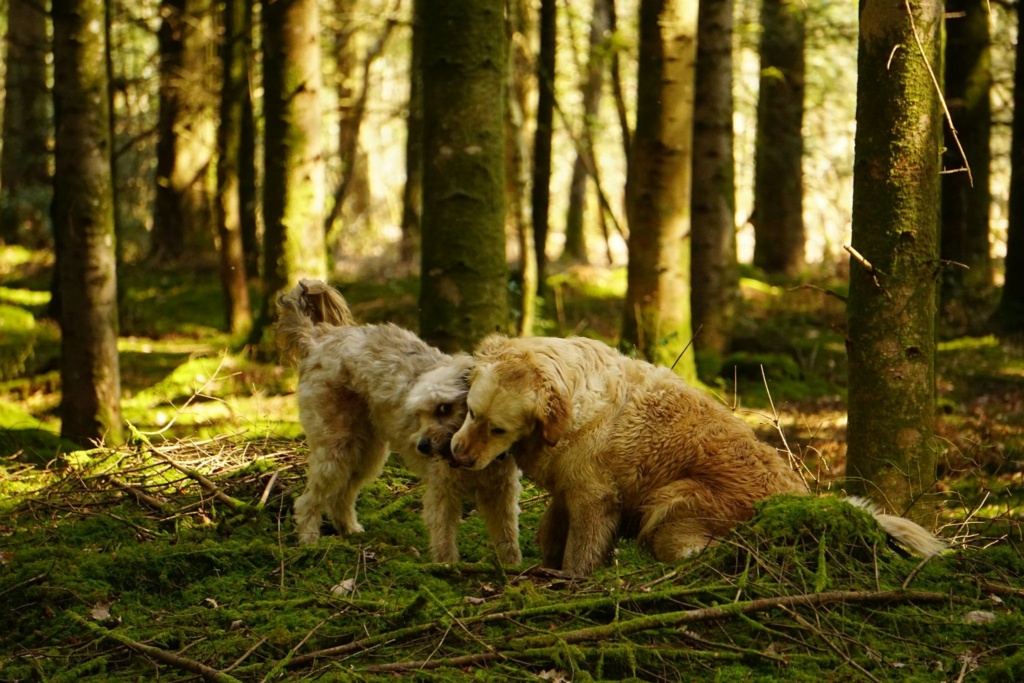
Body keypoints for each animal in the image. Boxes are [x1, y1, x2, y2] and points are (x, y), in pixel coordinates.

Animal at [276, 280, 524, 565]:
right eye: (419, 414)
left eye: (444, 408)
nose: (422, 447)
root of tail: (318, 338)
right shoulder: (443, 492)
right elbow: (444, 537)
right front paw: (446, 567)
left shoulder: (502, 494)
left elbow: (508, 537)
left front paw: (513, 568)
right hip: (335, 449)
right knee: (308, 501)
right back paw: (309, 542)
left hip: (366, 453)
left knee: (341, 496)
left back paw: (350, 531)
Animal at [450, 335, 942, 577]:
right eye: (470, 412)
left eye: (497, 429)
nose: (456, 455)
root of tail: (805, 503)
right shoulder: (569, 486)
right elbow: (551, 528)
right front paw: (545, 562)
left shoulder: (595, 496)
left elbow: (580, 547)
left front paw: (569, 576)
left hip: (673, 500)